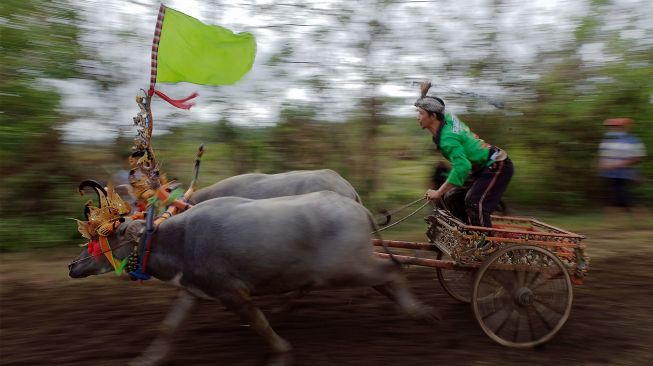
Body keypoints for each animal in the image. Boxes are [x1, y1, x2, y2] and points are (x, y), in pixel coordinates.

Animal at [69, 192, 436, 366]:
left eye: (104, 238)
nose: (73, 265)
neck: (178, 240)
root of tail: (358, 209)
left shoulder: (232, 293)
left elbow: (259, 323)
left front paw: (281, 352)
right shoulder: (194, 290)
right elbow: (168, 327)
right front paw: (148, 358)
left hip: (346, 268)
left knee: (393, 272)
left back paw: (421, 313)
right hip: (353, 265)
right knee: (385, 280)